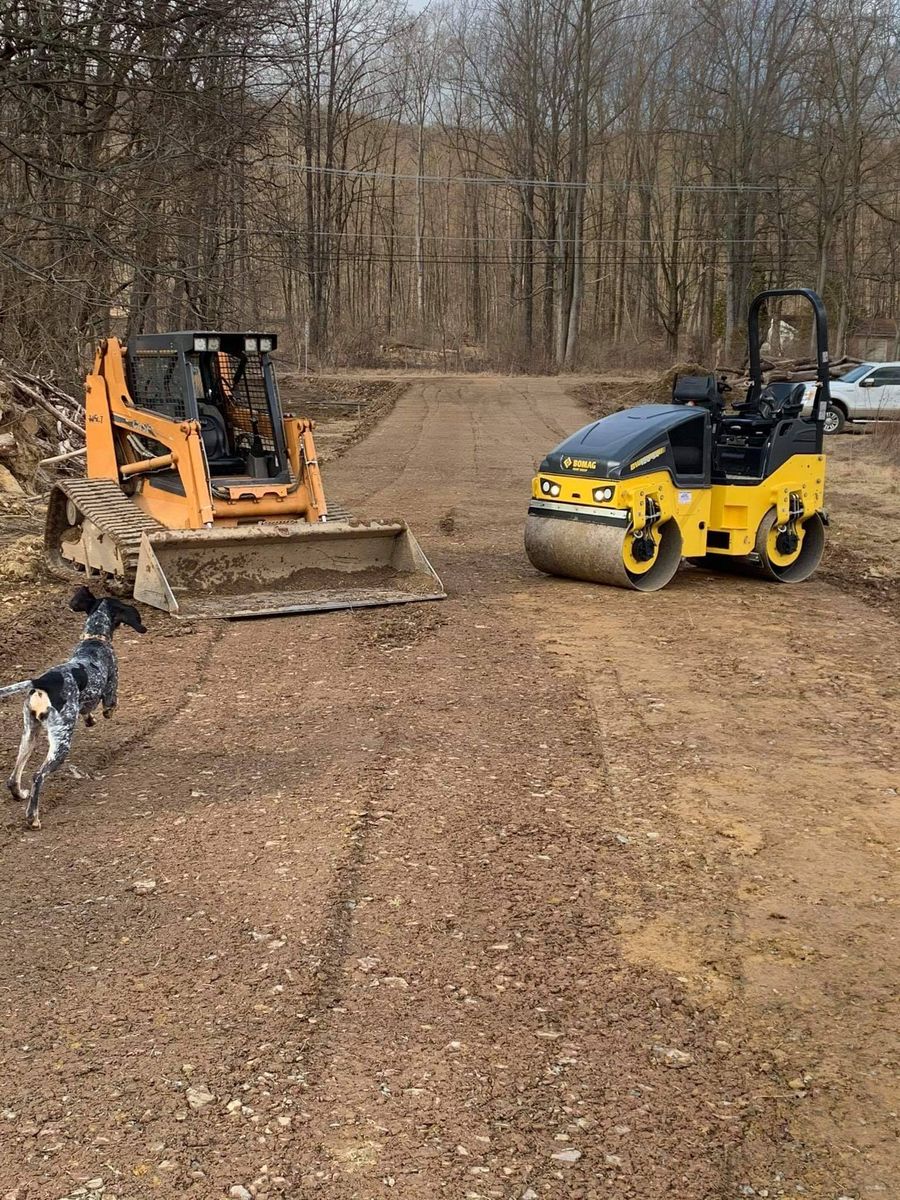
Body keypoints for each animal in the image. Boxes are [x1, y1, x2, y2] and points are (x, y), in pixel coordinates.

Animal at [0, 585, 146, 830]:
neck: (94, 639)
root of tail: (41, 682)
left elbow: (87, 710)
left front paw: (90, 719)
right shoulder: (111, 691)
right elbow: (108, 707)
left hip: (29, 734)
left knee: (13, 777)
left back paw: (20, 794)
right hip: (61, 741)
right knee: (38, 776)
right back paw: (33, 818)